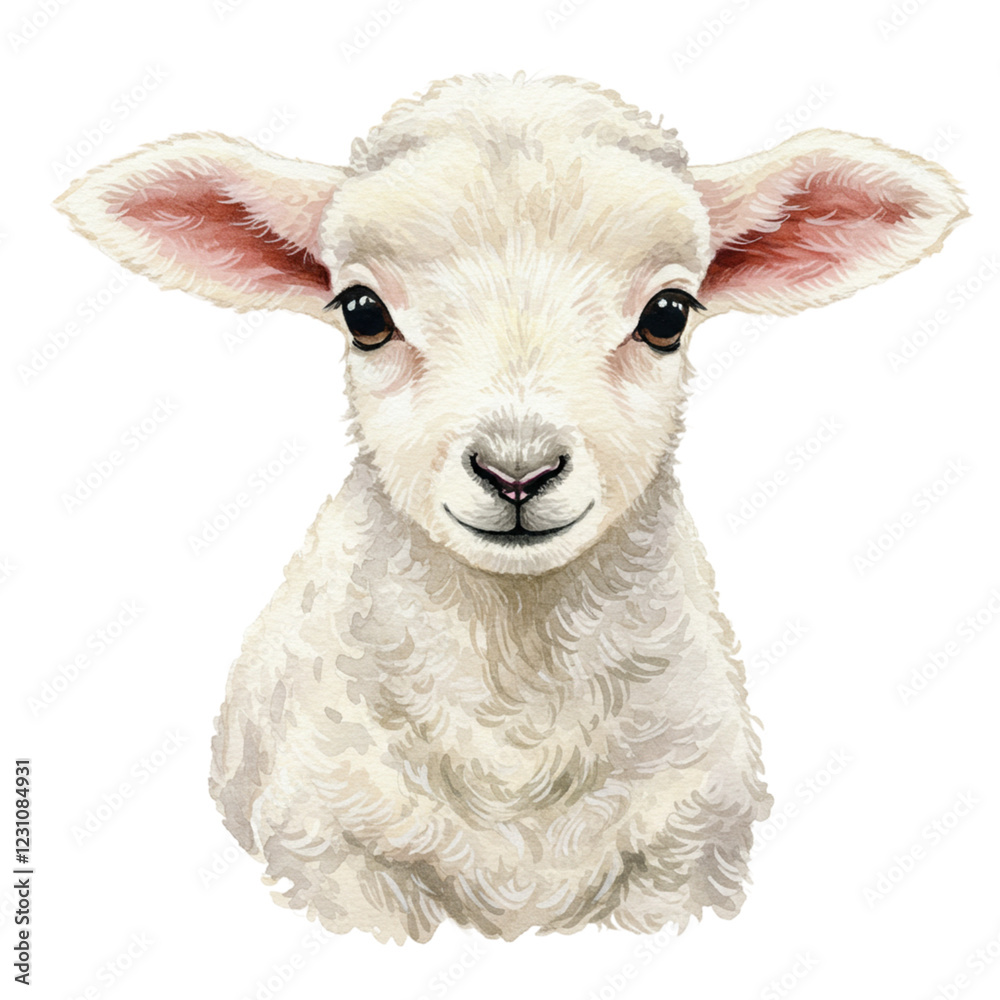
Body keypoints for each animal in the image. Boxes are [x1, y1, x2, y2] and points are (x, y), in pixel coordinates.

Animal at [56, 72, 966, 944]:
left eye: (668, 314)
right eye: (363, 312)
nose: (517, 473)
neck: (516, 713)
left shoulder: (689, 854)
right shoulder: (330, 850)